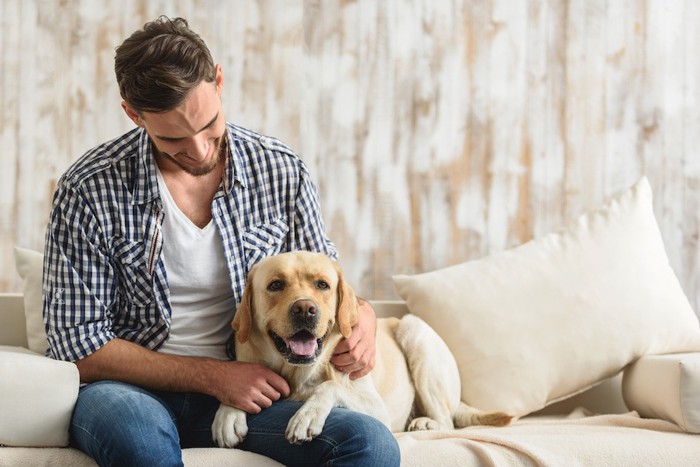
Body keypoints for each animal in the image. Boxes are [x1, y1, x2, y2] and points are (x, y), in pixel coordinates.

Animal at [211, 252, 512, 446]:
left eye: (322, 285)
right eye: (275, 285)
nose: (305, 309)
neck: (297, 373)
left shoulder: (378, 409)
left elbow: (330, 386)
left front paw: (306, 416)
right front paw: (227, 414)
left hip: (414, 329)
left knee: (447, 421)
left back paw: (427, 422)